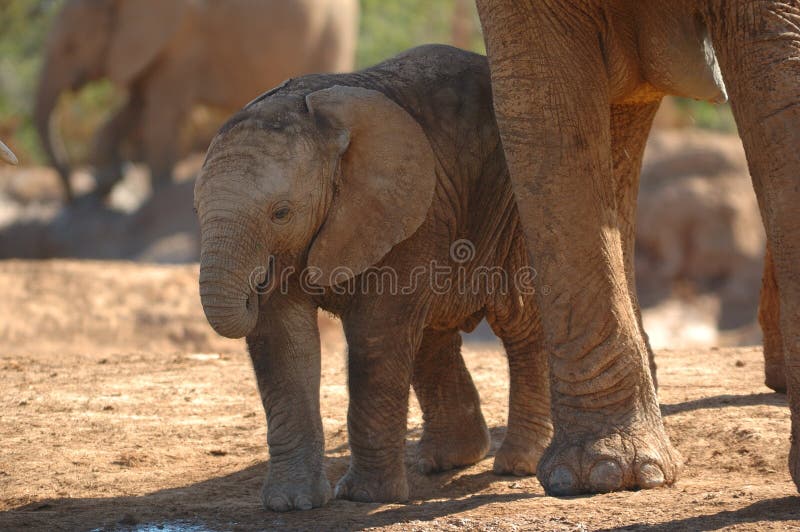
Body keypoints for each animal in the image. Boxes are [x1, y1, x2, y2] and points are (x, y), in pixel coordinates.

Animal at [34, 0, 358, 198]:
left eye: (71, 46)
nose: (73, 197)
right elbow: (136, 107)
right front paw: (112, 178)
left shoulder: (183, 40)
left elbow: (161, 115)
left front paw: (157, 193)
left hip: (330, 39)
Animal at [195, 43, 552, 510]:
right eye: (197, 208)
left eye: (281, 213)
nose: (254, 286)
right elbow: (284, 341)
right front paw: (291, 504)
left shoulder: (405, 207)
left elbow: (375, 332)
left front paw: (363, 498)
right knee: (431, 334)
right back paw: (449, 460)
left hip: (518, 210)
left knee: (521, 325)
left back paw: (517, 465)